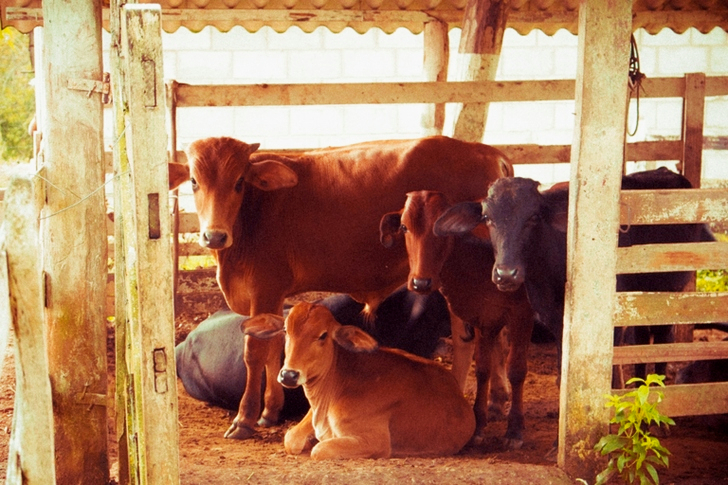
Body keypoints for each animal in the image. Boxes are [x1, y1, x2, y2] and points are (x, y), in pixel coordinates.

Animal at [242, 302, 476, 459]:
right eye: (285, 330)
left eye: (323, 335)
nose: (289, 375)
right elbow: (290, 439)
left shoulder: (375, 441)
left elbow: (320, 450)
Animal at [380, 190, 535, 449]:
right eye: (403, 226)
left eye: (441, 228)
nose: (421, 282)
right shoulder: (484, 318)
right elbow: (482, 369)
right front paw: (478, 426)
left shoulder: (522, 314)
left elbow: (516, 369)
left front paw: (514, 430)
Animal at [433, 168, 715, 386]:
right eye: (487, 218)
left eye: (533, 217)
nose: (506, 273)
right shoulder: (554, 319)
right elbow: (562, 375)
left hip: (669, 292)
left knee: (662, 339)